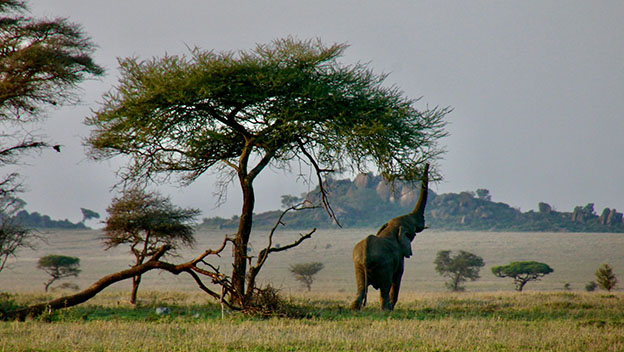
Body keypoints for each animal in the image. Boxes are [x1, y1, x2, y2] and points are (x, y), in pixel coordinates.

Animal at [352, 164, 428, 310]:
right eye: (412, 229)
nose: (427, 164)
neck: (391, 228)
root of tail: (365, 255)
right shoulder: (399, 257)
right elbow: (397, 278)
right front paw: (392, 308)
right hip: (383, 264)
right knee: (385, 287)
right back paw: (385, 310)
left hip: (357, 265)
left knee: (360, 288)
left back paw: (354, 309)